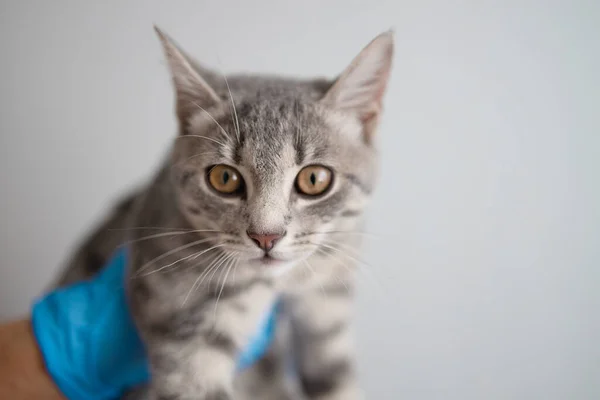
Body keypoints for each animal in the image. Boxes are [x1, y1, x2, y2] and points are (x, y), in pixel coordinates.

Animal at [56, 25, 394, 400]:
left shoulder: (330, 294)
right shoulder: (182, 317)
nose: (266, 236)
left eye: (314, 179)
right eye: (224, 178)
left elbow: (335, 377)